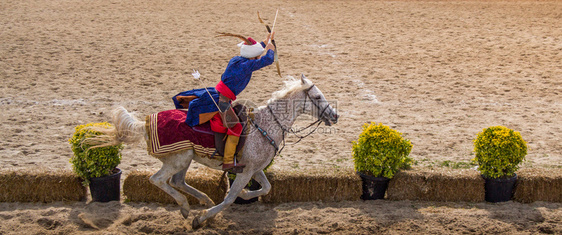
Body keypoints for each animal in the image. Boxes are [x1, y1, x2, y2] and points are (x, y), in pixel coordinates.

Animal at [95, 74, 334, 229]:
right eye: (317, 97)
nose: (335, 115)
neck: (267, 124)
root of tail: (146, 124)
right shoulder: (246, 172)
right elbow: (230, 199)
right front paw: (201, 218)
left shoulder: (255, 169)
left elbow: (266, 188)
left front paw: (244, 195)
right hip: (178, 159)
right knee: (158, 180)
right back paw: (186, 207)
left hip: (186, 159)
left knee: (177, 181)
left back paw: (204, 200)